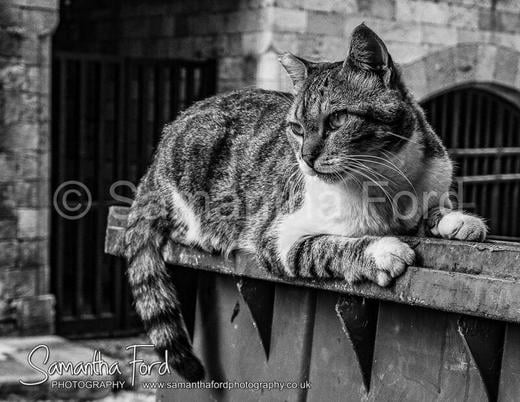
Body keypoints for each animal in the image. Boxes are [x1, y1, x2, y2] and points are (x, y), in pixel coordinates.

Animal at [123, 23, 488, 382]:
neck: (383, 183)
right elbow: (326, 248)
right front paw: (381, 251)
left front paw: (457, 221)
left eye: (338, 119)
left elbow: (431, 209)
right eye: (296, 128)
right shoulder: (277, 238)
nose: (306, 157)